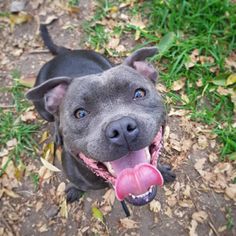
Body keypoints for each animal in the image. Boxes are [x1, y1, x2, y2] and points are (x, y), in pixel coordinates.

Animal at [26, 24, 175, 207]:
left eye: (139, 93)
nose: (121, 128)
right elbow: (78, 184)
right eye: (80, 113)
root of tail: (64, 54)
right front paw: (75, 190)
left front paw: (161, 170)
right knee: (54, 119)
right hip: (43, 109)